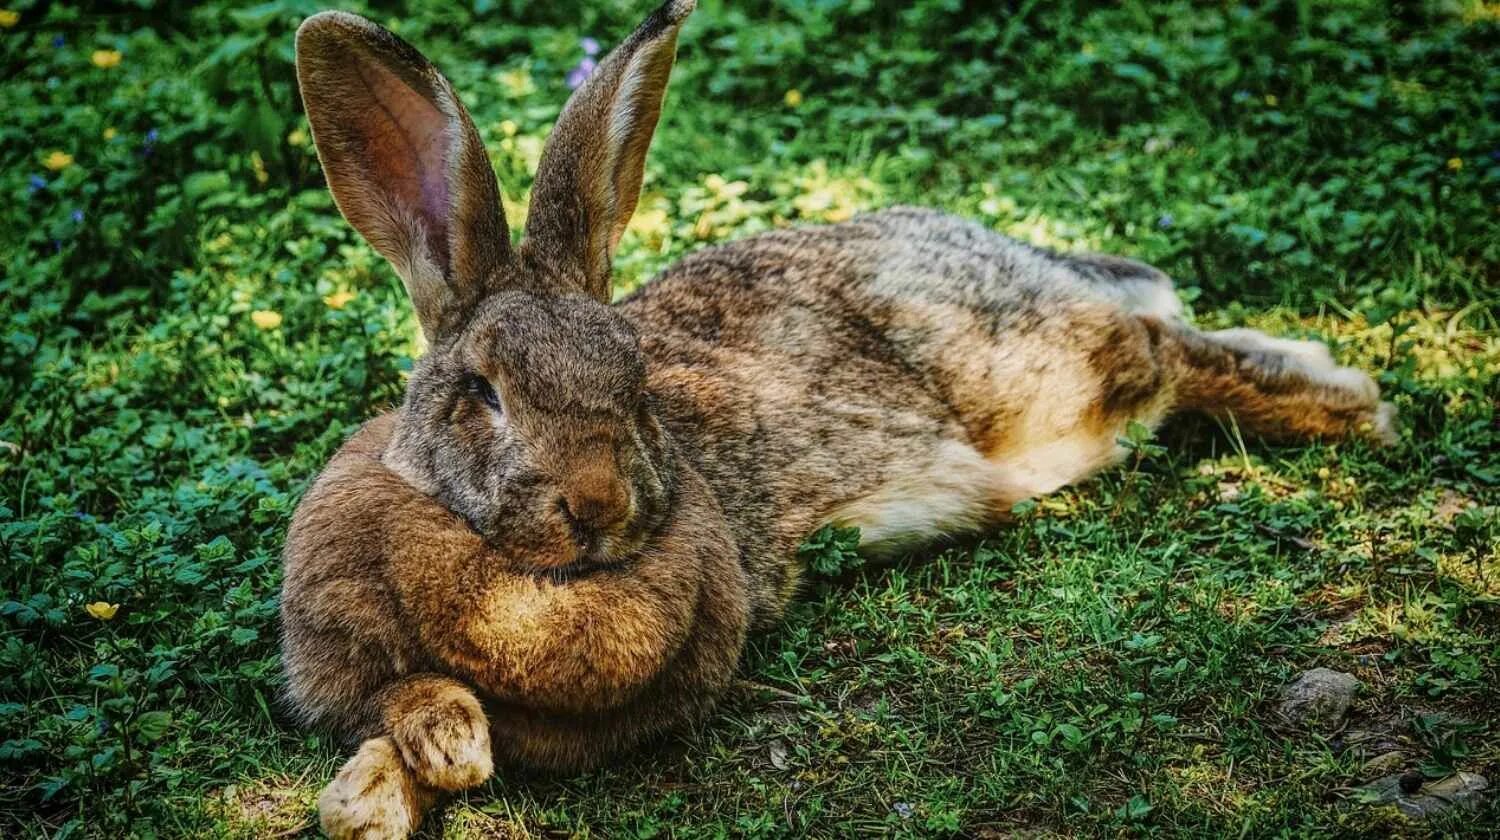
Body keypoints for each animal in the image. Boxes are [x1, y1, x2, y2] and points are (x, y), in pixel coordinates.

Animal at [279, 3, 1392, 834]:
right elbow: (394, 713)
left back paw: (1348, 405)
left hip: (1039, 374)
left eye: (635, 385)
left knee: (1164, 353)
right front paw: (388, 784)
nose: (596, 507)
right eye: (483, 393)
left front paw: (406, 773)